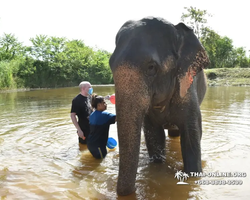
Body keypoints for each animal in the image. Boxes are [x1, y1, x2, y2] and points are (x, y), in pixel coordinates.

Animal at [109, 16, 209, 195]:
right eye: (110, 65)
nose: (128, 192)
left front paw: (192, 177)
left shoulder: (187, 89)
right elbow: (154, 136)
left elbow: (191, 137)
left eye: (151, 67)